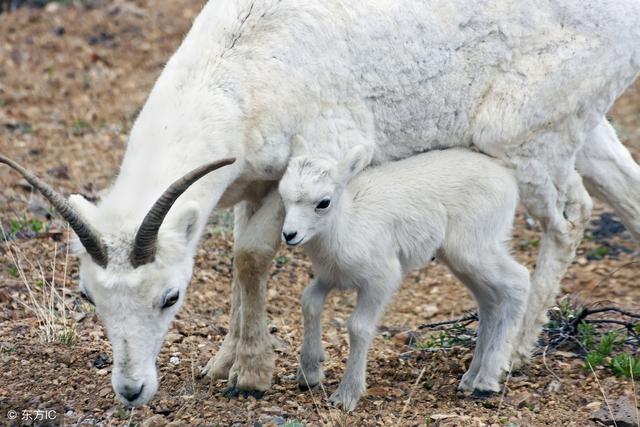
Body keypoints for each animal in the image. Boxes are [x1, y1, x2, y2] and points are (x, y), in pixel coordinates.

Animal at [278, 145, 528, 412]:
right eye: (283, 196)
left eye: (323, 203)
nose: (290, 235)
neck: (347, 224)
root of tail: (507, 178)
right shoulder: (330, 277)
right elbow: (309, 302)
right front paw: (309, 374)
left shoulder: (381, 280)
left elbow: (358, 327)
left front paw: (346, 396)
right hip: (460, 260)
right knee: (489, 302)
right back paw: (470, 379)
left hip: (475, 250)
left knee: (518, 282)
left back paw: (487, 380)